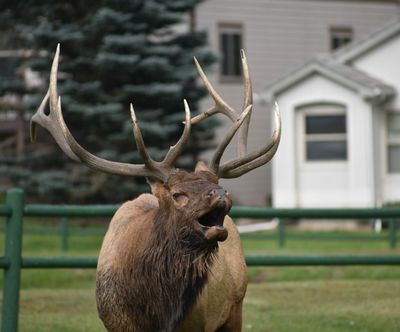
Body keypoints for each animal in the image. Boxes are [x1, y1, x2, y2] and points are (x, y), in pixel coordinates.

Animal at [30, 44, 282, 332]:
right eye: (177, 195)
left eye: (217, 184)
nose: (221, 194)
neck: (156, 312)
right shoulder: (116, 322)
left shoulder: (200, 323)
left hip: (235, 307)